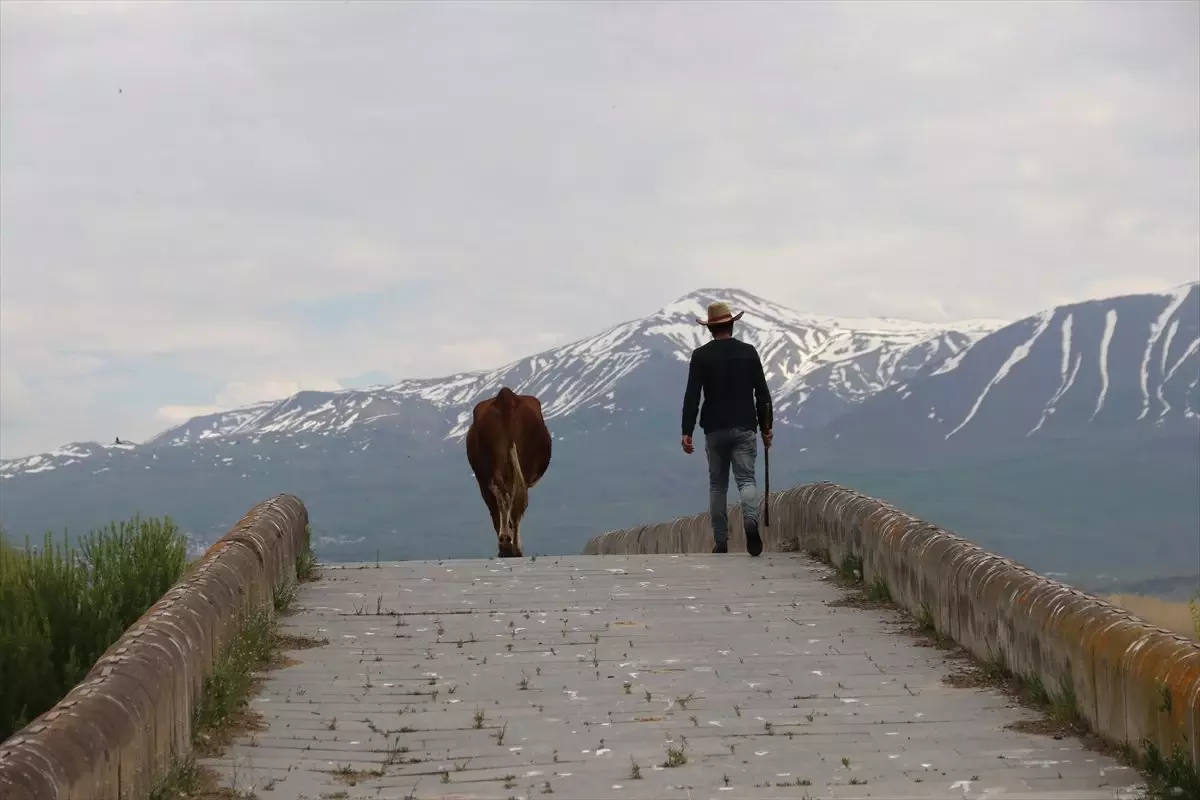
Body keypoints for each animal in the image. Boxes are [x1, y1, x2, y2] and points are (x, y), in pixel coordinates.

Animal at [463, 386, 552, 556]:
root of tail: (505, 397)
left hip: (493, 468)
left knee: (506, 498)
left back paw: (506, 543)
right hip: (517, 465)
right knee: (515, 501)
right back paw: (511, 545)